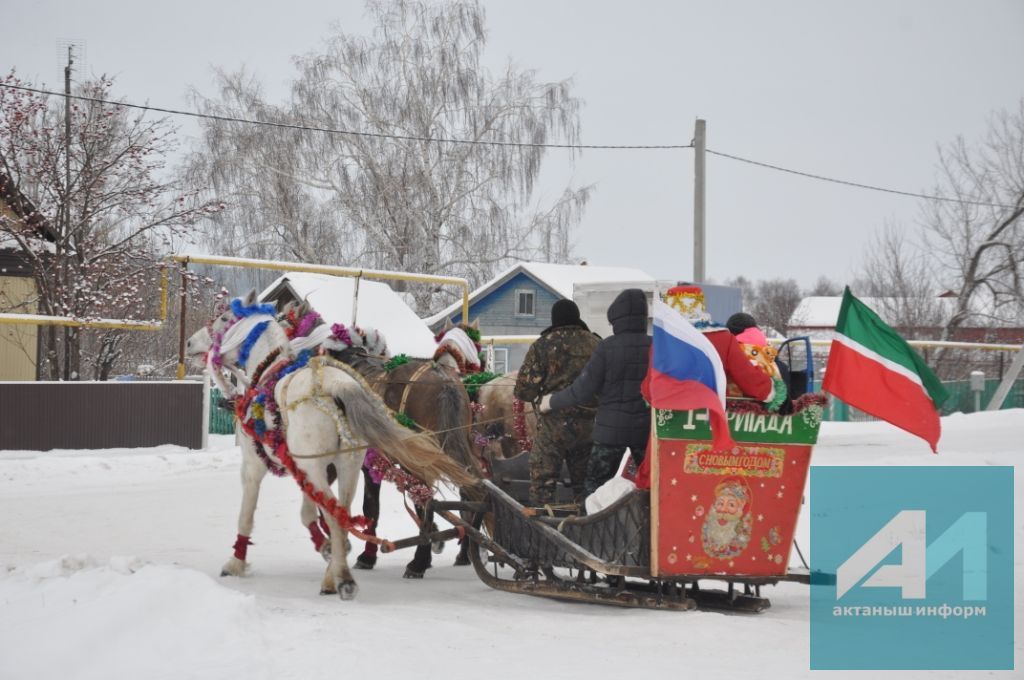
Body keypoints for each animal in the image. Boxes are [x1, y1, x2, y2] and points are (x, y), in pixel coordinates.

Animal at [193, 292, 477, 602]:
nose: (192, 342)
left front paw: (237, 561)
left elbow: (252, 514)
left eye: (224, 318)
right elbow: (342, 510)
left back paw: (387, 567)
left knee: (407, 502)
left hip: (349, 464)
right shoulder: (338, 468)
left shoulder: (258, 465)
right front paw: (341, 549)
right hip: (356, 463)